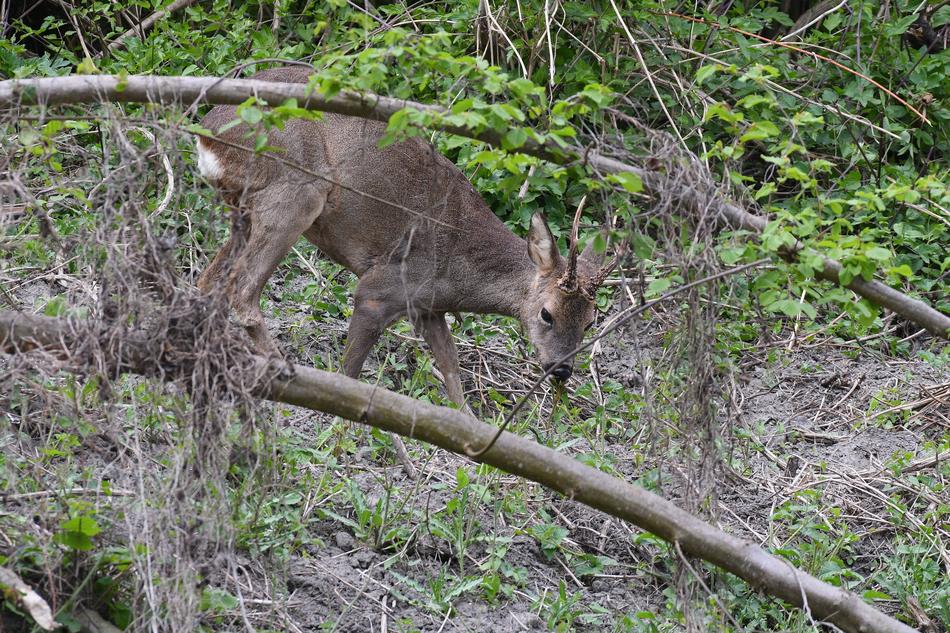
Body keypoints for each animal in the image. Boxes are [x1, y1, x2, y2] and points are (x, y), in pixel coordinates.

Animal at [195, 67, 615, 466]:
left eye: (591, 322)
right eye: (546, 313)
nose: (561, 370)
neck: (458, 266)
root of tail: (207, 134)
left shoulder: (427, 307)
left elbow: (451, 365)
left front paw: (473, 436)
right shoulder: (380, 288)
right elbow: (350, 371)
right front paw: (341, 433)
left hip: (243, 208)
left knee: (208, 280)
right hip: (294, 191)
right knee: (243, 290)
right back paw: (283, 369)